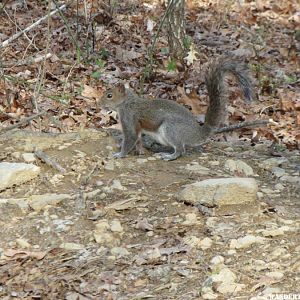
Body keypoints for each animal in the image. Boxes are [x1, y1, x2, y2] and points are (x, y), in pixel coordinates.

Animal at [98, 59, 255, 162]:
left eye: (109, 95)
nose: (99, 103)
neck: (127, 102)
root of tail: (197, 133)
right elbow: (137, 140)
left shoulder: (129, 117)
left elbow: (130, 137)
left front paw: (120, 154)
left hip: (171, 128)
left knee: (181, 149)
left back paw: (169, 156)